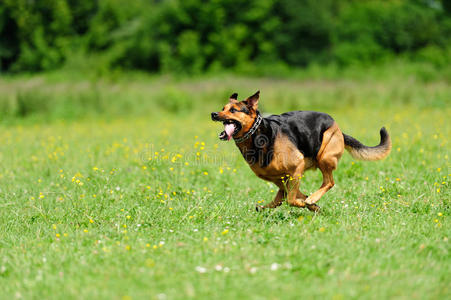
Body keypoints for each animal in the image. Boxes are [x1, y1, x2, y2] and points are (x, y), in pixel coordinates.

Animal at [212, 91, 392, 211]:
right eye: (223, 108)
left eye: (233, 110)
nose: (214, 114)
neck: (259, 135)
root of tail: (339, 130)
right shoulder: (279, 177)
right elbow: (289, 194)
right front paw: (309, 203)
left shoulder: (296, 167)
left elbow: (292, 198)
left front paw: (306, 202)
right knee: (282, 196)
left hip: (324, 156)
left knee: (329, 182)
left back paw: (312, 199)